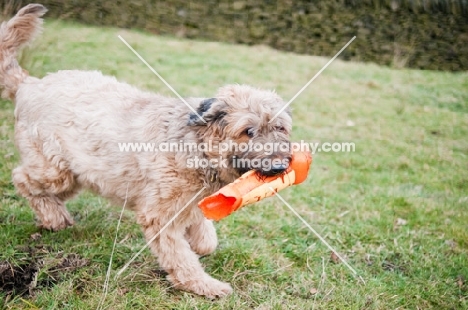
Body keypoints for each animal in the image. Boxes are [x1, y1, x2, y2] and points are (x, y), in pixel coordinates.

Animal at [0, 3, 292, 298]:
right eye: (248, 131)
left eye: (280, 128)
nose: (281, 166)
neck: (197, 147)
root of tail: (30, 84)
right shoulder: (160, 215)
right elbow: (180, 257)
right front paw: (203, 285)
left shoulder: (190, 201)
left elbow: (203, 234)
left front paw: (201, 242)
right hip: (56, 170)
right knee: (22, 179)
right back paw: (54, 217)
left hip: (77, 175)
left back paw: (56, 217)